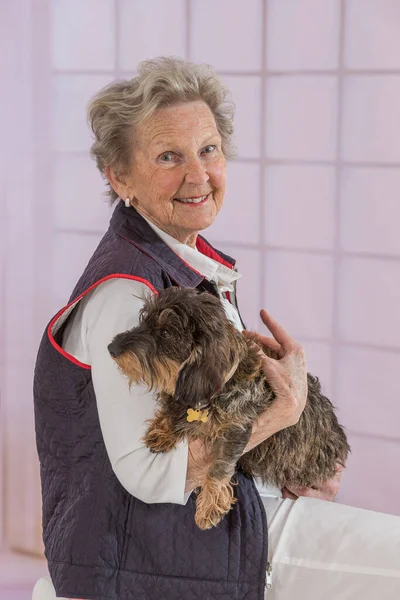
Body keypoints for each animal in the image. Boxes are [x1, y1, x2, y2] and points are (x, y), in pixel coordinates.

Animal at [108, 288, 350, 528]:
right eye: (144, 319)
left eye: (166, 332)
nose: (111, 348)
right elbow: (173, 410)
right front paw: (163, 431)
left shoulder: (237, 429)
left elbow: (220, 465)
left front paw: (210, 504)